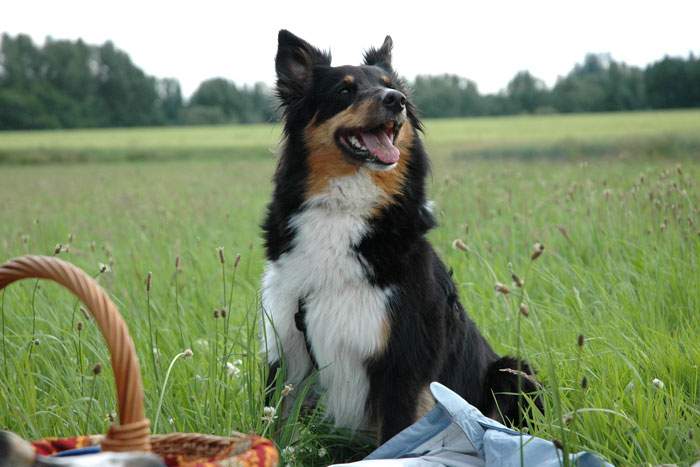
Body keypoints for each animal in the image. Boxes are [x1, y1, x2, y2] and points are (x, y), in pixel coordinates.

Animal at [262, 30, 540, 446]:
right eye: (344, 91)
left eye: (389, 86)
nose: (397, 101)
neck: (345, 209)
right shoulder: (288, 349)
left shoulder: (402, 363)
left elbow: (393, 439)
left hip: (514, 374)